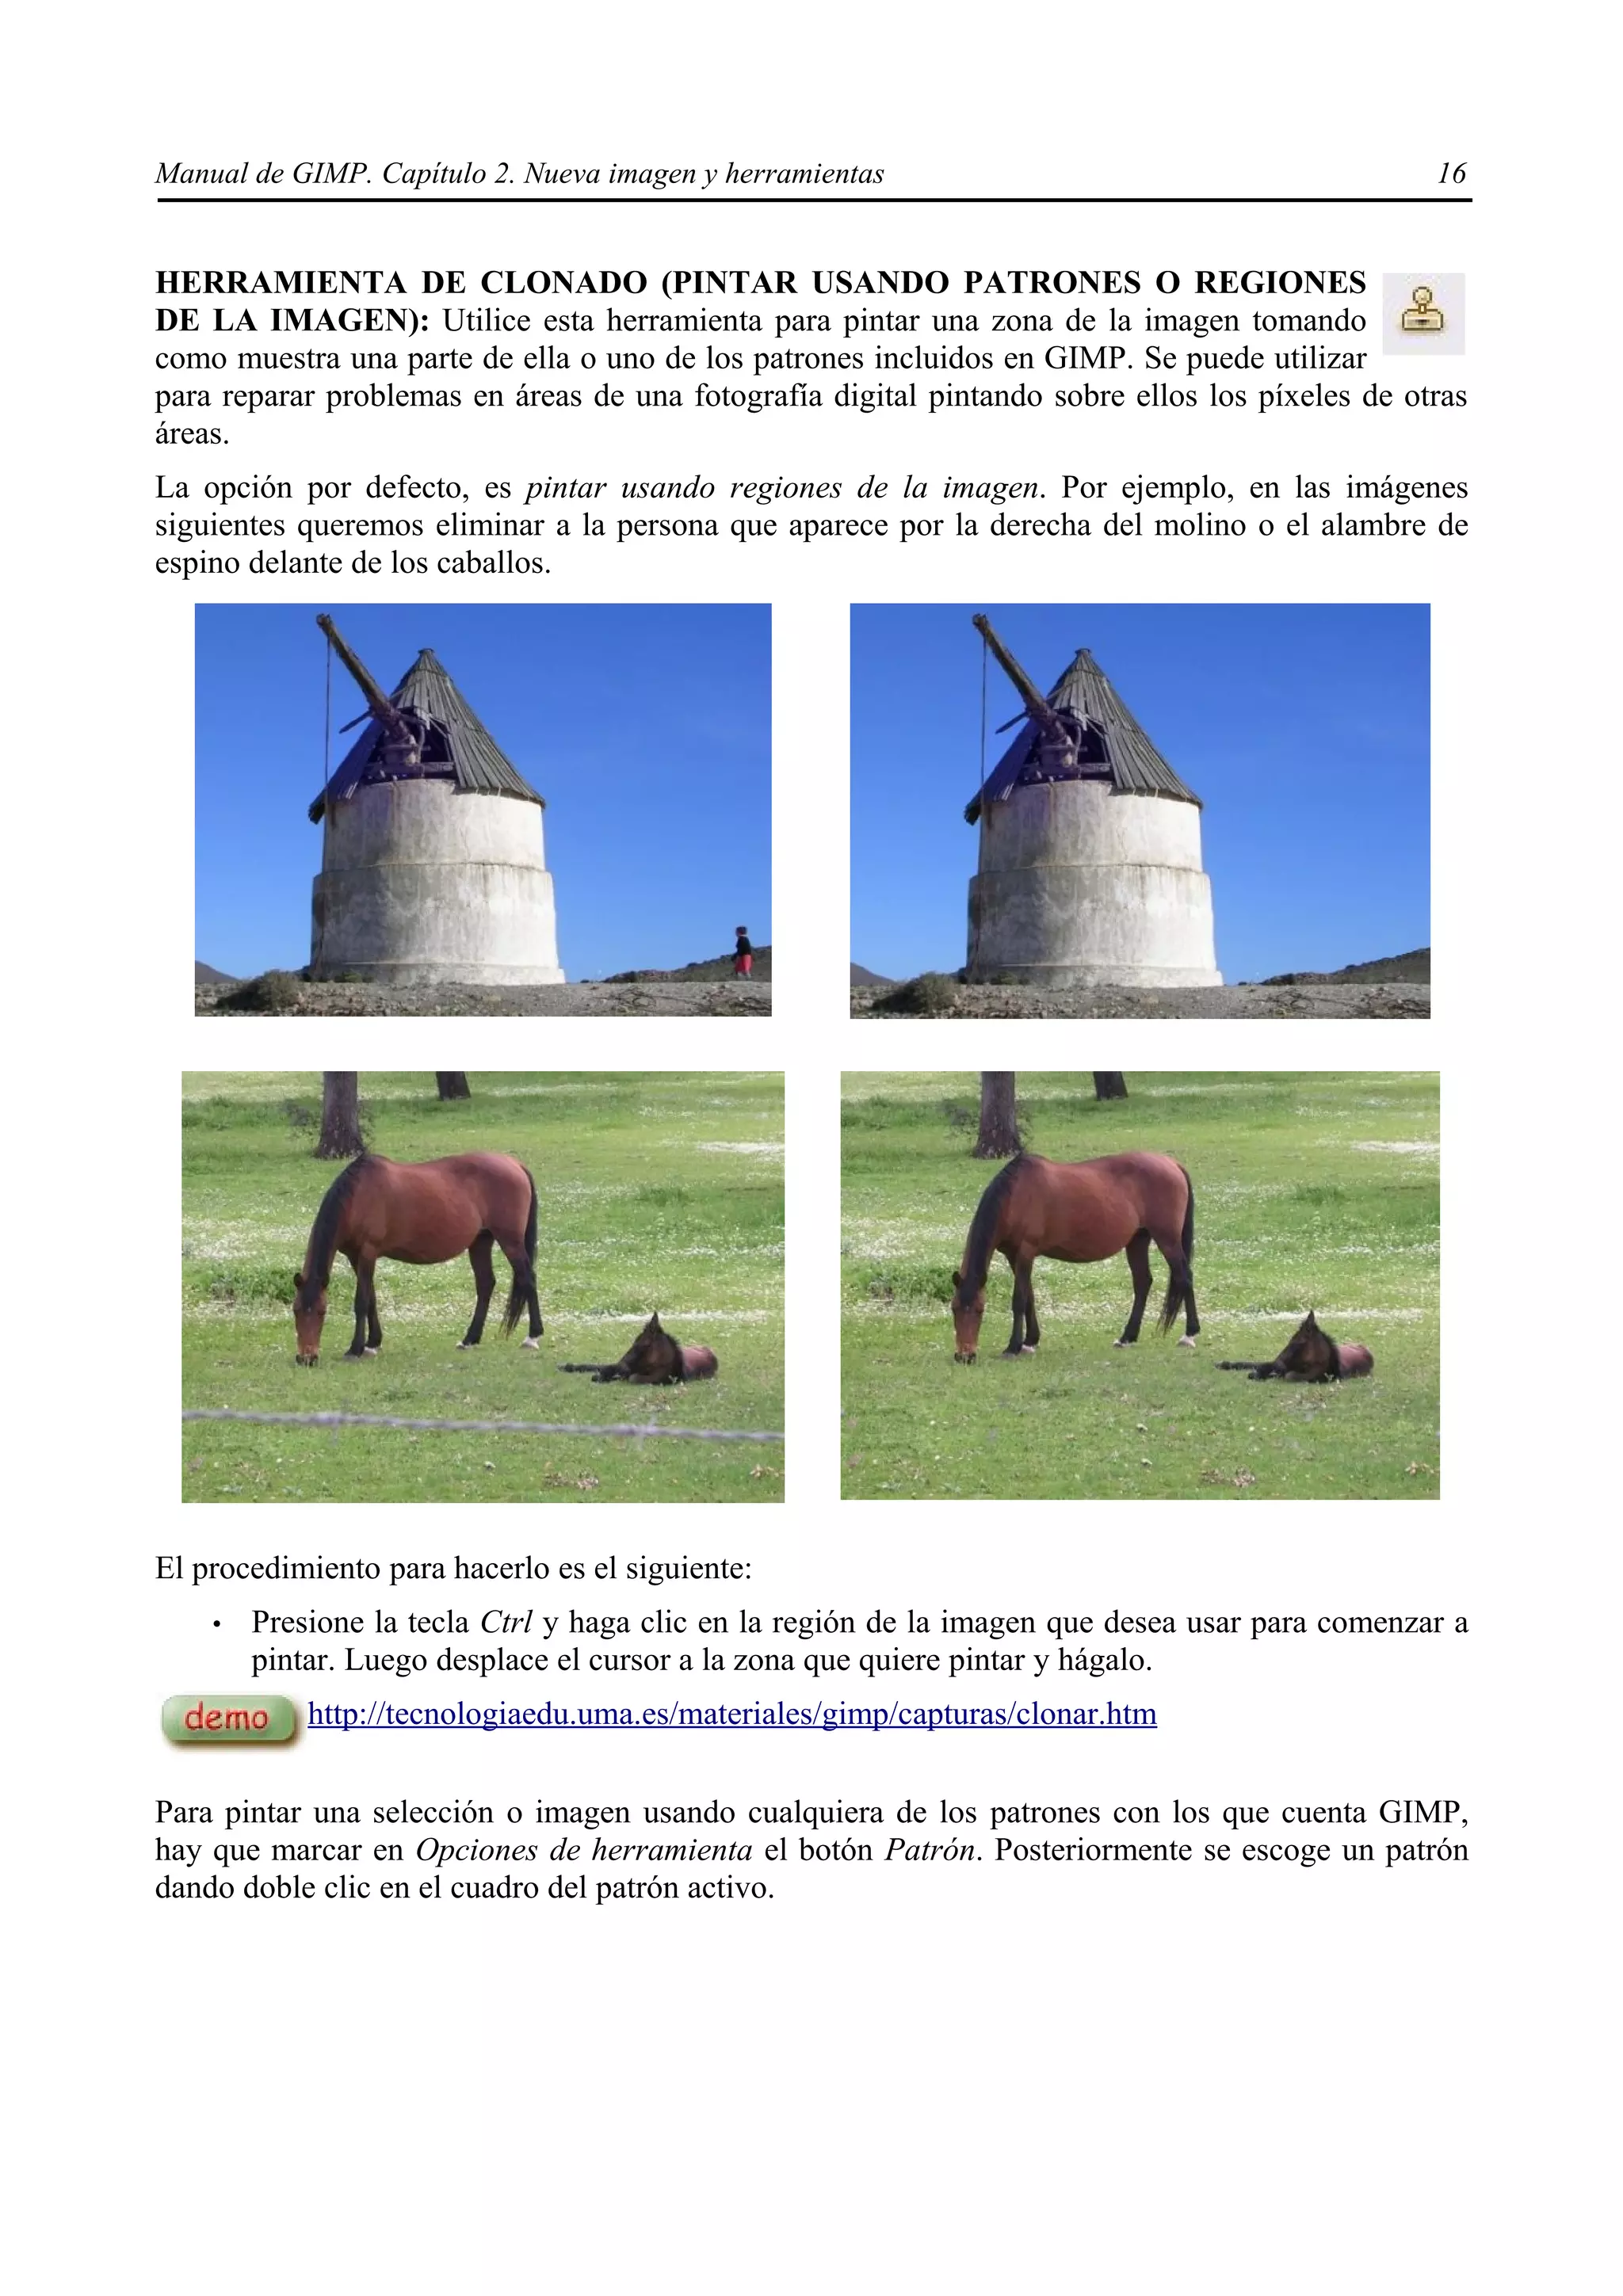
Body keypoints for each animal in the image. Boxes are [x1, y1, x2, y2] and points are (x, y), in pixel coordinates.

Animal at [291, 1152, 541, 1366]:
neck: (358, 1195)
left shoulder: (368, 1253)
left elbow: (361, 1301)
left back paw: (532, 1337)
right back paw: (469, 1339)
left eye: (322, 1312)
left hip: (510, 1241)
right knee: (486, 1284)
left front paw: (355, 1349)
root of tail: (515, 1164)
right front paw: (372, 1343)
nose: (306, 1358)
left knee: (527, 1278)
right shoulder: (355, 1256)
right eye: (296, 1310)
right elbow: (371, 1298)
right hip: (481, 1242)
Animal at [952, 1151, 1197, 1364]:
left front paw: (1013, 1347)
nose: (965, 1356)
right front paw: (1030, 1341)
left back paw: (1189, 1335)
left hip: (1167, 1239)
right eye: (954, 1309)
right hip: (1138, 1240)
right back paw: (1127, 1337)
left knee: (1184, 1277)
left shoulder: (1025, 1252)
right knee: (1143, 1282)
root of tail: (1172, 1163)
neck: (1016, 1194)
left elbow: (1019, 1299)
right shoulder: (1014, 1256)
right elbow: (1029, 1297)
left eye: (980, 1310)